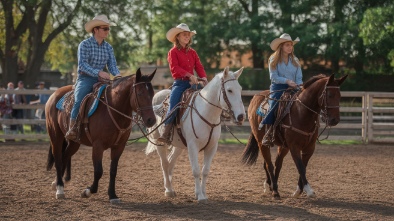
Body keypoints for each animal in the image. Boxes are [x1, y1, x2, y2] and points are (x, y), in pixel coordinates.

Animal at [45, 68, 156, 203]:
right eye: (140, 93)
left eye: (152, 93)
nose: (151, 120)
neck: (113, 109)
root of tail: (54, 94)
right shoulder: (98, 145)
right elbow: (98, 171)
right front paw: (87, 191)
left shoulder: (119, 146)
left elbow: (113, 170)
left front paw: (112, 195)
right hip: (55, 136)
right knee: (58, 159)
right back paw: (60, 189)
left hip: (74, 143)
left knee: (65, 157)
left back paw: (56, 184)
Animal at [146, 67, 245, 202]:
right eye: (229, 90)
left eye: (240, 89)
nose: (241, 117)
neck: (207, 114)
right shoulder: (193, 146)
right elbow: (196, 171)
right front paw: (199, 195)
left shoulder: (212, 147)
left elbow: (205, 171)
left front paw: (204, 194)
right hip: (158, 142)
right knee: (165, 163)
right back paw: (168, 190)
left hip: (179, 146)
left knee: (171, 162)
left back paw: (171, 187)